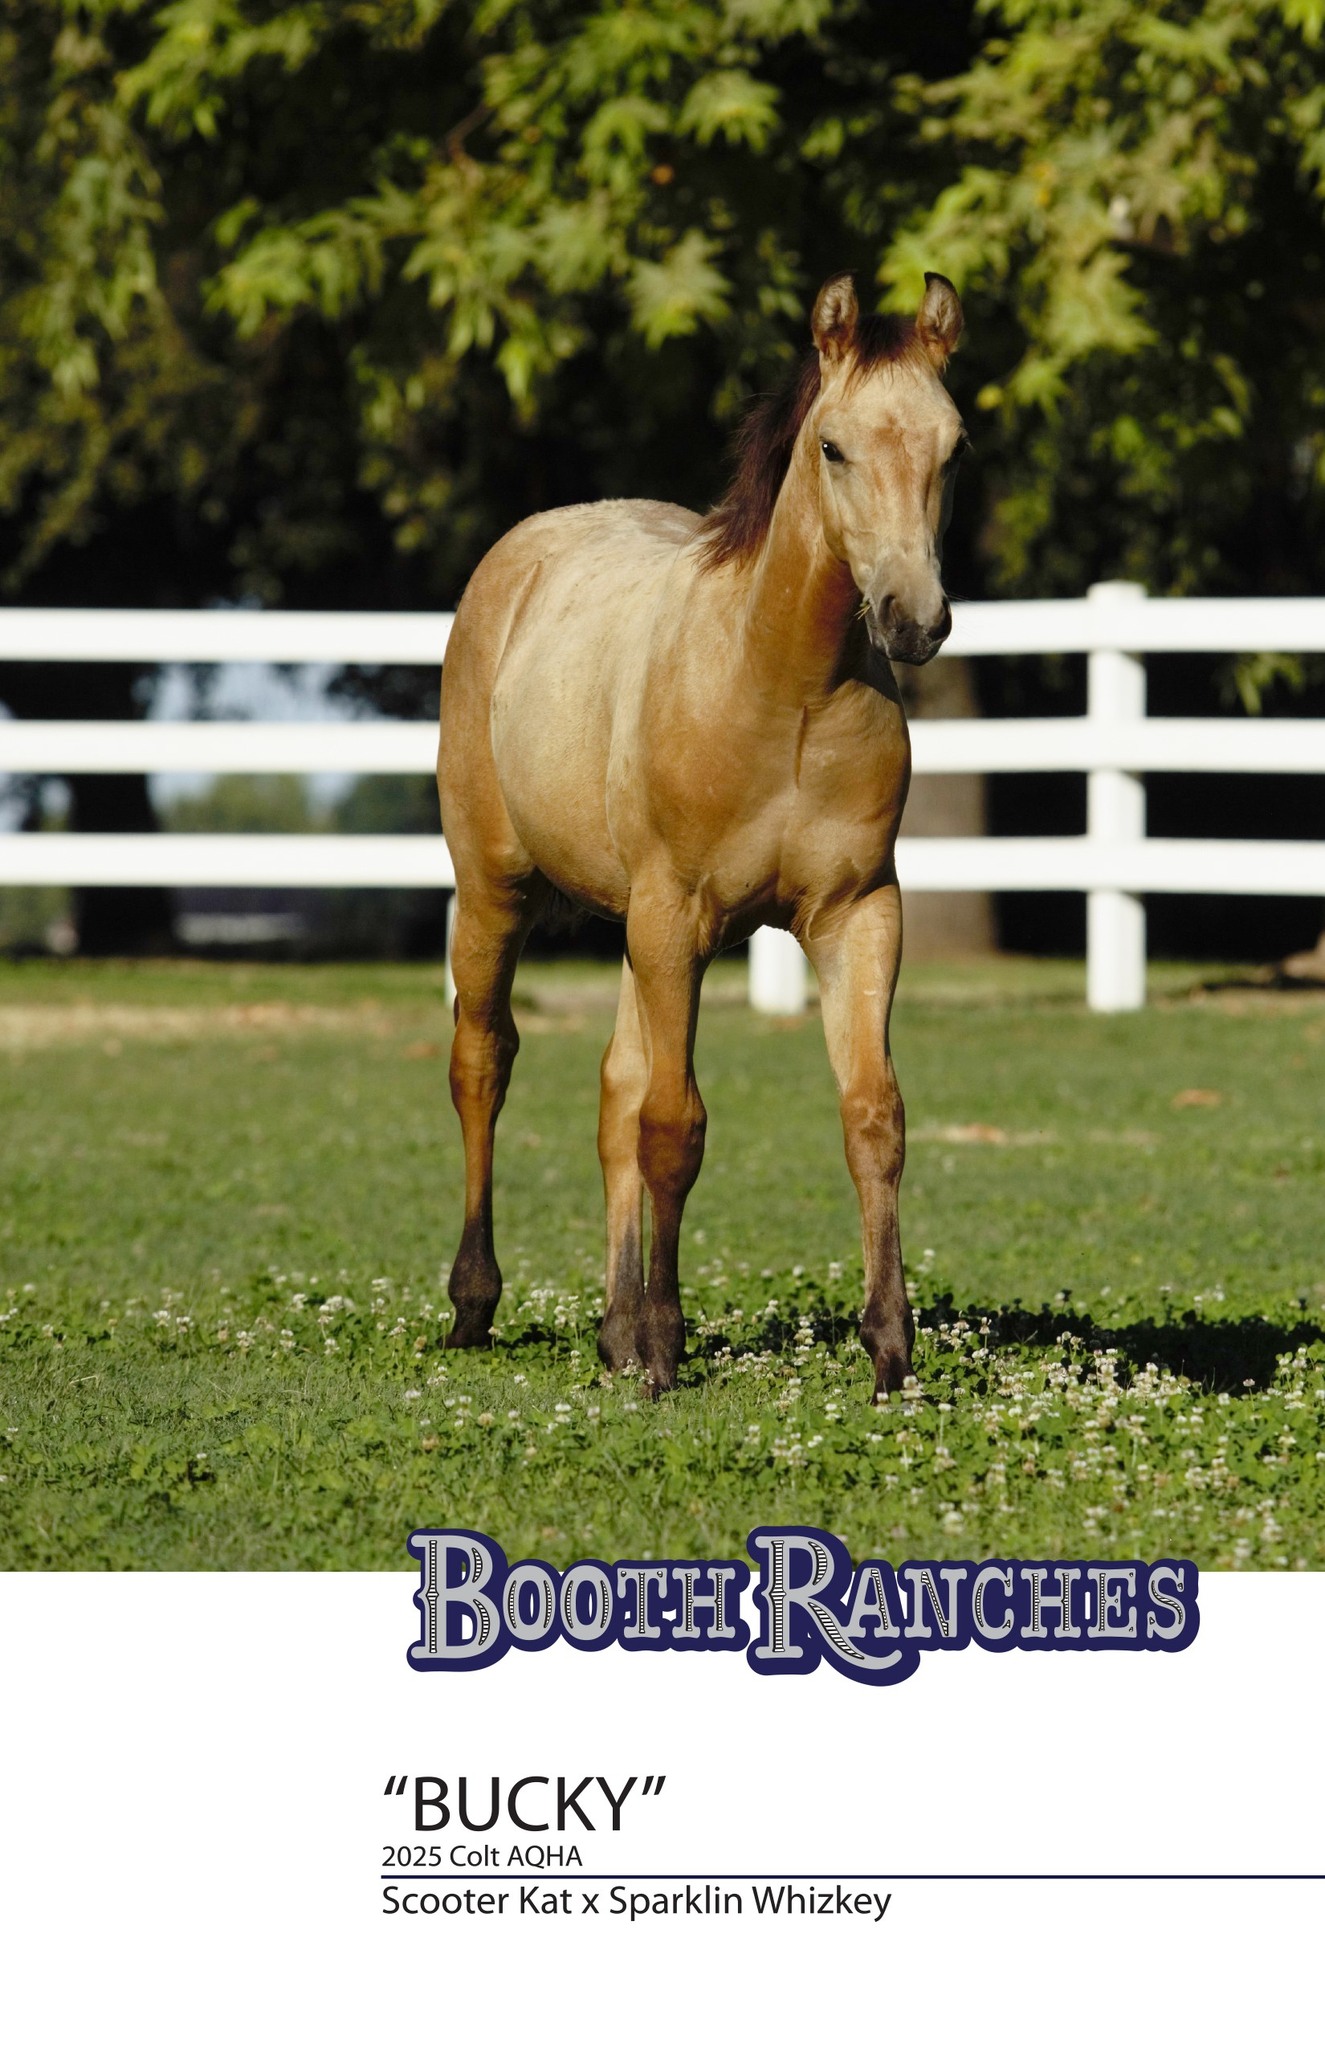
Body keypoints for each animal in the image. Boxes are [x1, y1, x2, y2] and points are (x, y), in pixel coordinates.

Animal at [437, 270, 966, 1401]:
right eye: (831, 447)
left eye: (953, 448)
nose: (912, 620)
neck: (781, 687)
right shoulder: (676, 915)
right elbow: (674, 1127)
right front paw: (664, 1347)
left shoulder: (857, 914)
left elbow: (872, 1115)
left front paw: (889, 1348)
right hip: (496, 889)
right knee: (482, 1060)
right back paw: (474, 1304)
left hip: (636, 931)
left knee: (611, 1090)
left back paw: (609, 1325)